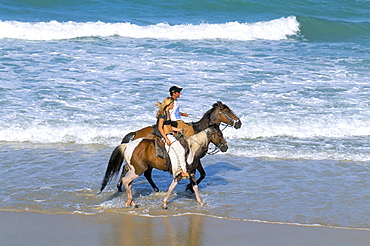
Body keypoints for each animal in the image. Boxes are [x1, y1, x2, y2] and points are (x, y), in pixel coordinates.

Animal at [99, 125, 227, 208]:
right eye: (220, 134)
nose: (226, 147)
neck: (192, 149)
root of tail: (127, 145)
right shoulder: (181, 173)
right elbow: (172, 187)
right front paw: (165, 203)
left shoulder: (191, 172)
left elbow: (194, 187)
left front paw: (200, 202)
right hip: (138, 170)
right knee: (126, 180)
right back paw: (130, 201)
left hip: (135, 169)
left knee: (129, 181)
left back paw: (131, 201)